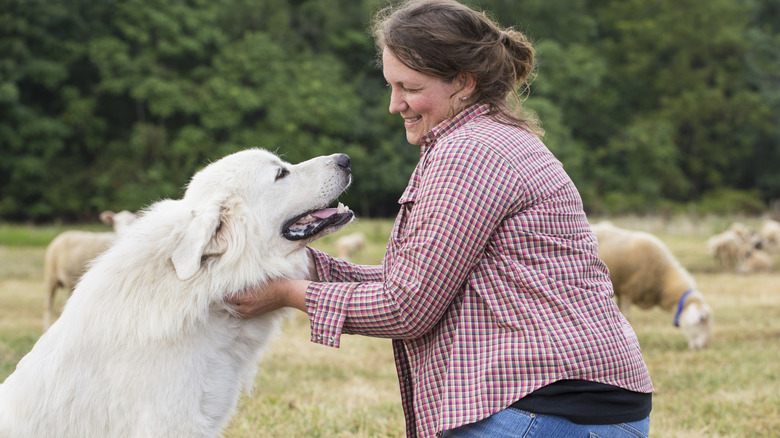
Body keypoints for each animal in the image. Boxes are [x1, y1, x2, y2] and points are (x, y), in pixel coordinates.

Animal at [592, 222, 712, 350]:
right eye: (701, 319)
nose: (705, 346)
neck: (663, 277)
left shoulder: (623, 293)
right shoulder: (627, 291)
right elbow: (627, 317)